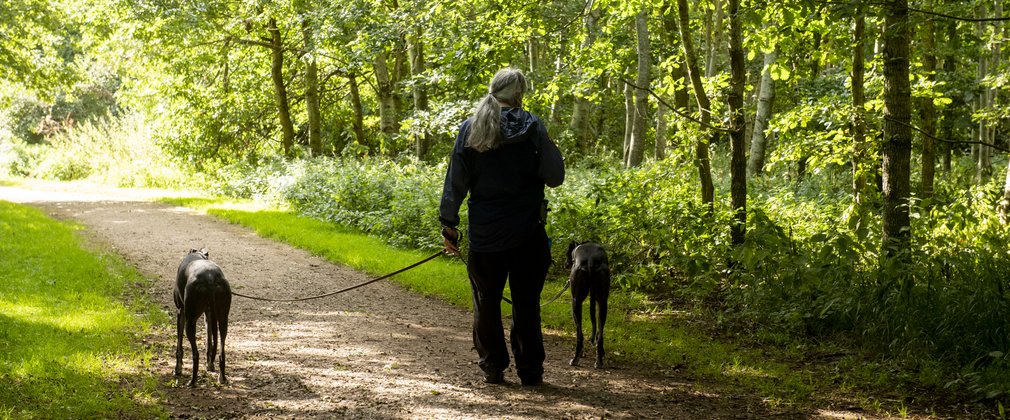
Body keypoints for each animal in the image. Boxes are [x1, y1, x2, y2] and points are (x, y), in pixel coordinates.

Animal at [177, 246, 234, 387]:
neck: (198, 254)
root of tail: (210, 278)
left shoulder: (181, 312)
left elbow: (179, 345)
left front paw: (177, 369)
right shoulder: (208, 315)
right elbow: (210, 341)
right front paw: (209, 364)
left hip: (190, 321)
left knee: (195, 354)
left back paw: (192, 381)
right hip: (223, 319)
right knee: (221, 351)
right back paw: (222, 377)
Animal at [565, 241, 610, 369]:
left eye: (567, 254)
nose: (565, 264)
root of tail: (591, 260)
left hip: (576, 302)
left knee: (580, 335)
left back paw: (576, 358)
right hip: (603, 303)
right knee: (600, 334)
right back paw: (599, 360)